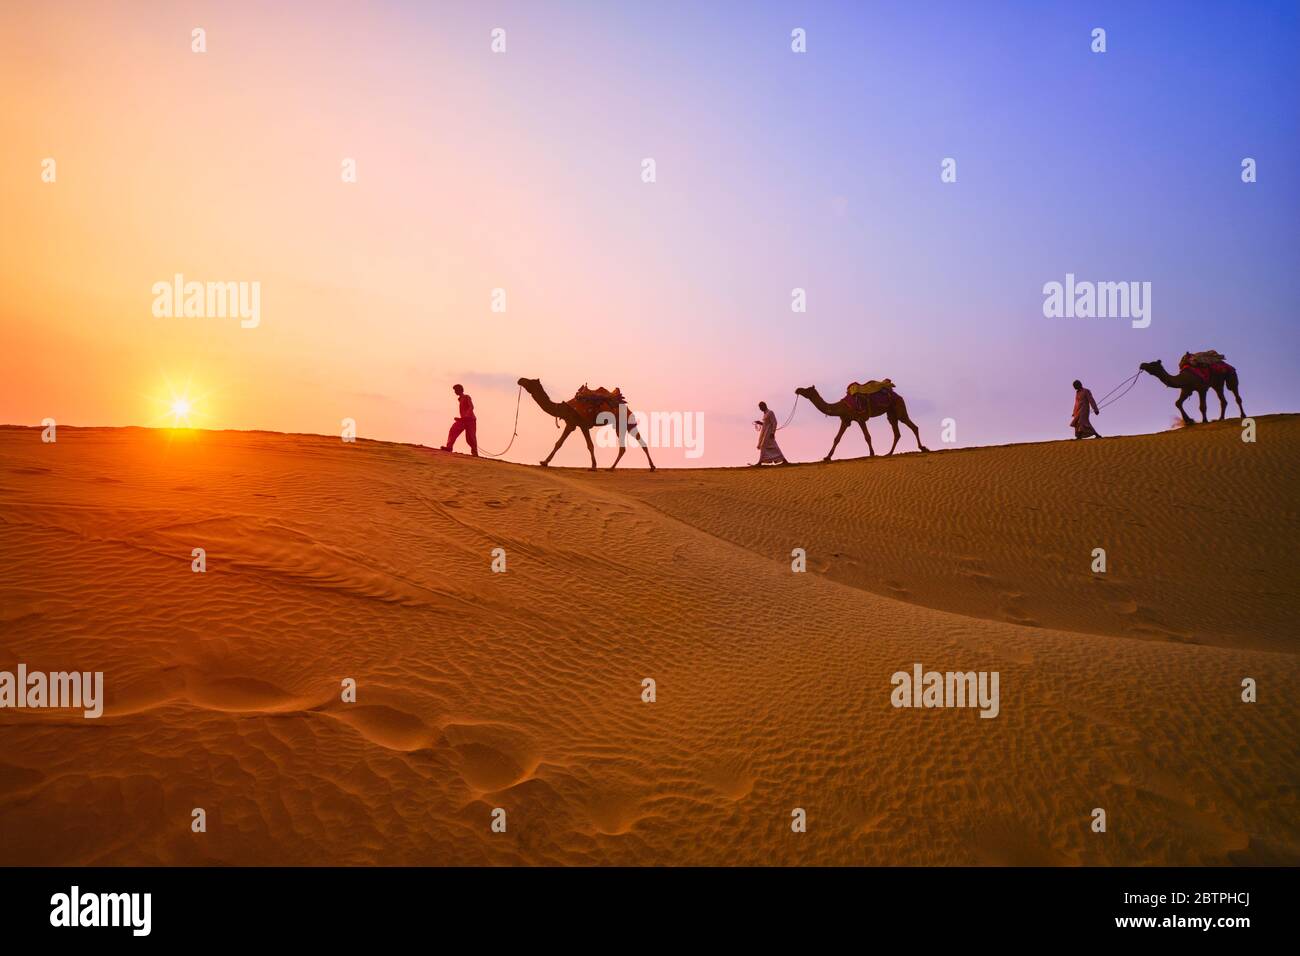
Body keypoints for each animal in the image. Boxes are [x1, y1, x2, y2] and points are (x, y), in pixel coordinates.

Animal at [517, 379, 655, 473]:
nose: (520, 380)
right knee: (631, 445)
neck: (565, 408)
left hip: (625, 423)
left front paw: (593, 467)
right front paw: (544, 462)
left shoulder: (579, 424)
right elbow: (559, 443)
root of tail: (627, 408)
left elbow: (588, 445)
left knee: (635, 444)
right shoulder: (573, 424)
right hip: (623, 426)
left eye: (530, 381)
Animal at [785, 379, 930, 463]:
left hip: (898, 407)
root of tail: (897, 394)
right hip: (891, 413)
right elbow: (837, 438)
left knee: (912, 426)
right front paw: (827, 457)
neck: (842, 406)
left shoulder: (860, 418)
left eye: (807, 389)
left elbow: (867, 437)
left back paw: (923, 448)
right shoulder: (845, 420)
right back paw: (889, 453)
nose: (797, 389)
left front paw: (872, 453)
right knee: (897, 432)